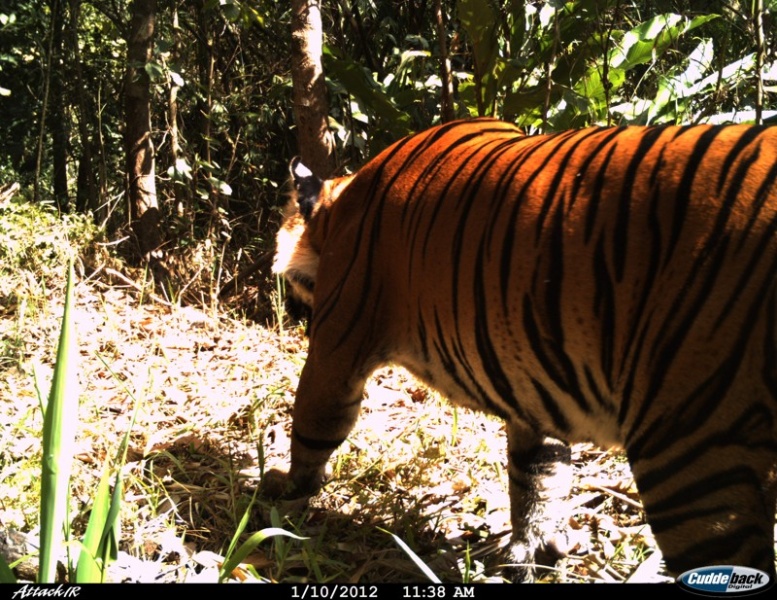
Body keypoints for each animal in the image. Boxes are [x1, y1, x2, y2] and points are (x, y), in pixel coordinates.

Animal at [266, 117, 777, 582]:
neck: (340, 208)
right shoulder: (535, 374)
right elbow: (539, 470)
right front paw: (535, 547)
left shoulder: (339, 342)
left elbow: (313, 422)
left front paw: (286, 491)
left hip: (690, 442)